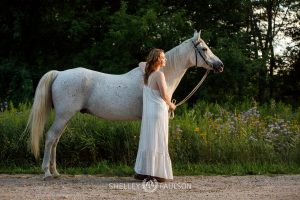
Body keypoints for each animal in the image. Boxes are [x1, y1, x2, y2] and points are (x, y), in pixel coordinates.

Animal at [26, 30, 223, 179]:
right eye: (204, 48)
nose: (220, 65)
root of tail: (59, 74)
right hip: (63, 115)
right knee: (50, 137)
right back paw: (47, 173)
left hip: (65, 117)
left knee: (55, 140)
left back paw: (56, 172)